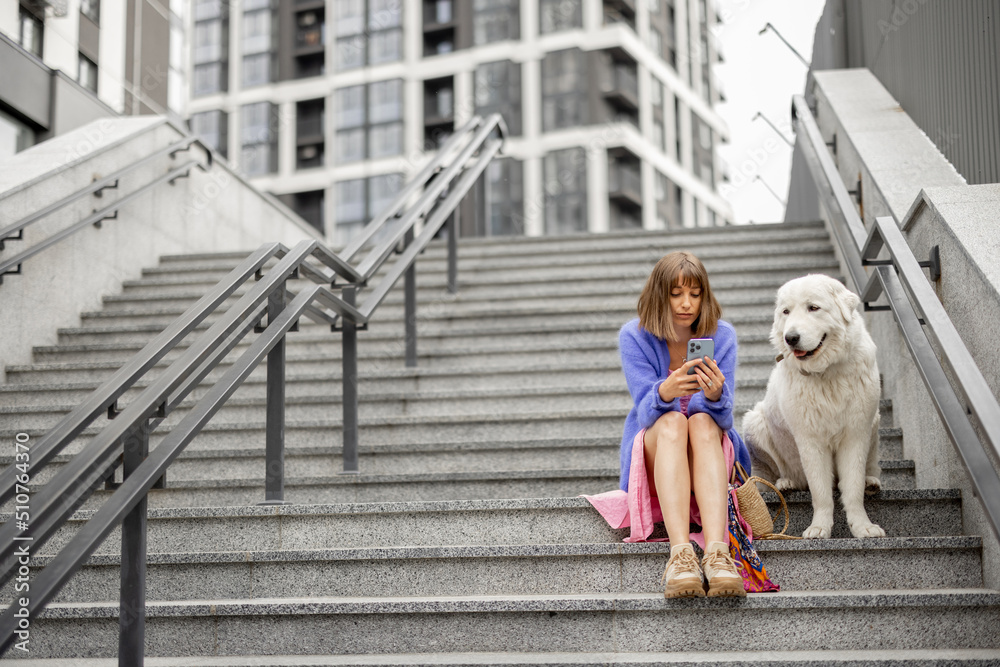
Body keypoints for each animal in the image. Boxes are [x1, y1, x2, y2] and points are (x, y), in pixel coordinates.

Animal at [744, 274, 884, 540]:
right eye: (786, 312)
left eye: (813, 308)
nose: (791, 338)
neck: (826, 374)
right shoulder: (810, 440)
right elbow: (820, 492)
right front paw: (819, 527)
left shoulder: (855, 434)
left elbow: (853, 488)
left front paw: (862, 526)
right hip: (754, 422)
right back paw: (786, 482)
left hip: (874, 422)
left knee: (870, 466)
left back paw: (871, 481)